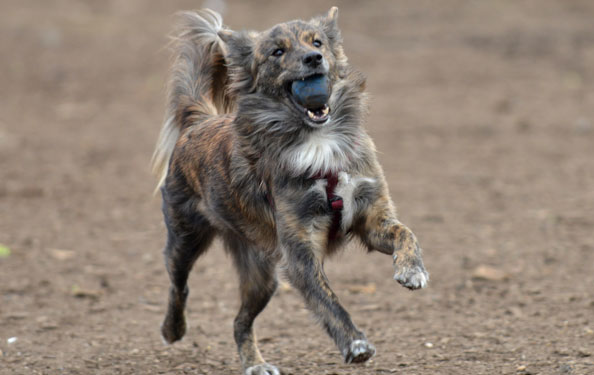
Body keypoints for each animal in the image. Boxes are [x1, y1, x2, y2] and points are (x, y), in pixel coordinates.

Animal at [151, 6, 430, 375]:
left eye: (318, 42)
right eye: (277, 52)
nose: (313, 59)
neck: (318, 140)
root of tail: (199, 120)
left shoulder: (371, 217)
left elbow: (406, 233)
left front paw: (412, 270)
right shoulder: (300, 251)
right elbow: (327, 300)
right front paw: (354, 343)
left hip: (262, 275)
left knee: (239, 322)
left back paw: (255, 364)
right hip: (185, 240)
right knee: (178, 285)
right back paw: (173, 329)